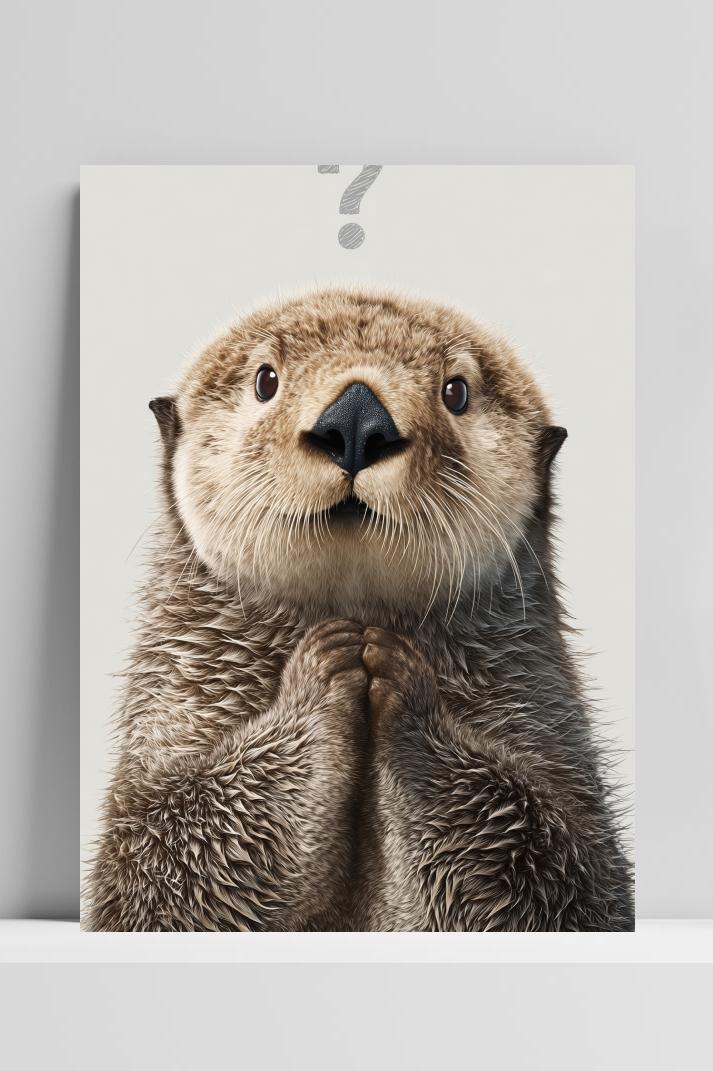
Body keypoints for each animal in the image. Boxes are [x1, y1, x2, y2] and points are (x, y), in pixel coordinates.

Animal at [85, 287, 633, 931]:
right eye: (266, 380)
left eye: (456, 391)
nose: (354, 420)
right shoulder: (175, 701)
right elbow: (164, 859)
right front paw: (328, 667)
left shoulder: (543, 724)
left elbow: (552, 867)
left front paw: (398, 677)